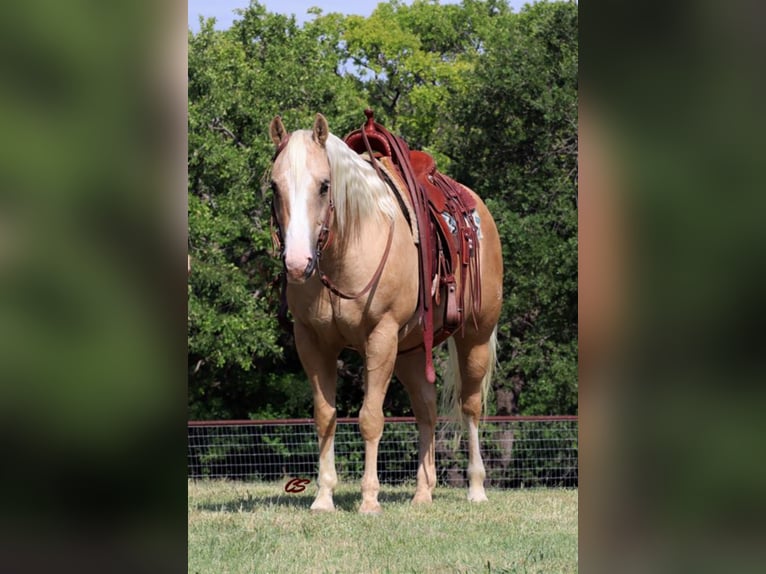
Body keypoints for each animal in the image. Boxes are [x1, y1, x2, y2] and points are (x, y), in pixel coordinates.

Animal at [268, 115, 504, 516]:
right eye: (274, 185)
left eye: (324, 186)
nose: (298, 263)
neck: (348, 247)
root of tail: (479, 213)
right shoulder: (312, 342)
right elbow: (325, 416)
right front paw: (323, 497)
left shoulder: (380, 337)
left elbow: (370, 418)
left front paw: (369, 499)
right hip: (410, 352)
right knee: (426, 410)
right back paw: (423, 492)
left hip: (474, 337)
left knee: (470, 407)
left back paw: (476, 488)